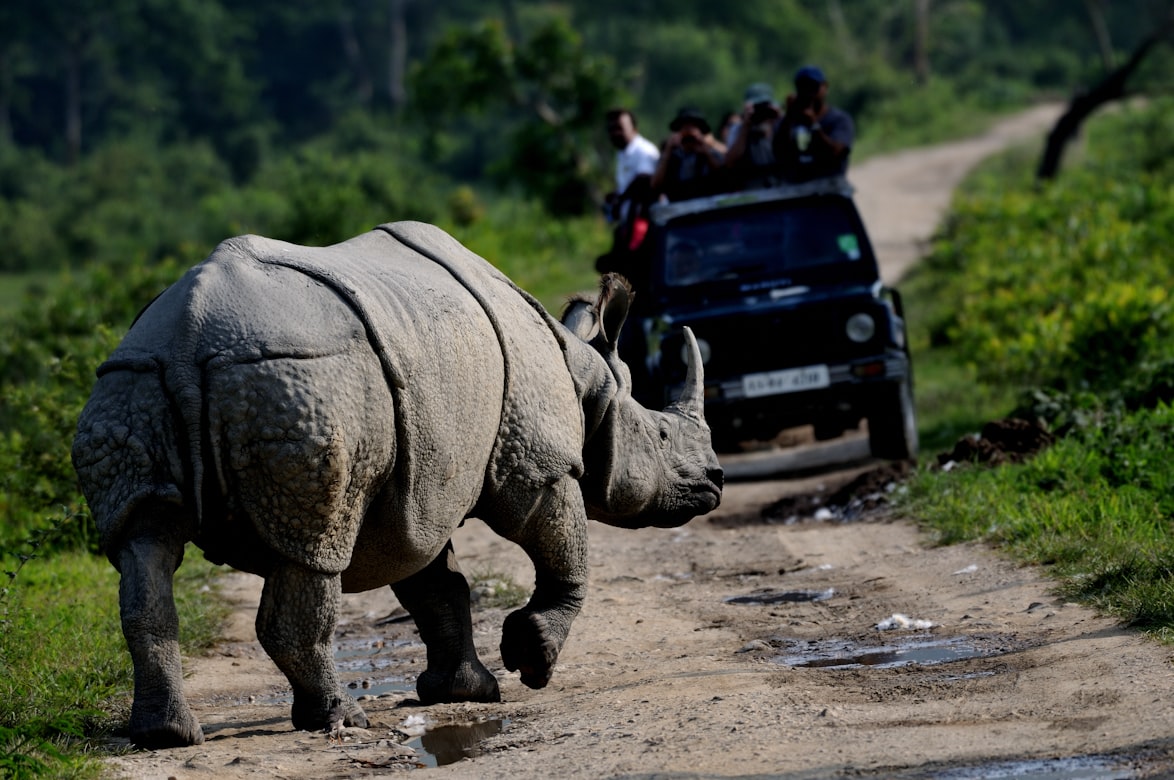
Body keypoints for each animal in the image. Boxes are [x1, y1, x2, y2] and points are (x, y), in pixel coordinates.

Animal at [71, 221, 723, 749]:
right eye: (663, 437)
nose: (715, 482)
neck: (584, 376)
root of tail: (188, 337)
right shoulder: (535, 464)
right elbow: (563, 555)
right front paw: (530, 661)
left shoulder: (418, 488)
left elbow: (436, 585)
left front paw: (466, 693)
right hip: (298, 382)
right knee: (314, 550)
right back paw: (340, 720)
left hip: (131, 385)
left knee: (144, 542)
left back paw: (166, 736)